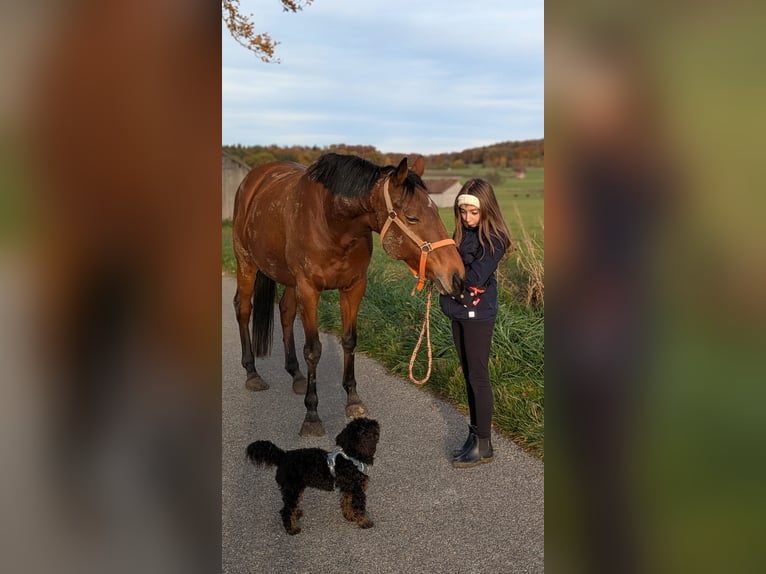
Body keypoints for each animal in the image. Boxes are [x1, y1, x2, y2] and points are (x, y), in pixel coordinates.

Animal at [232, 153, 465, 436]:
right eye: (412, 218)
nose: (456, 276)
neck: (331, 221)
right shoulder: (309, 289)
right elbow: (313, 349)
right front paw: (312, 415)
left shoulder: (354, 288)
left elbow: (349, 341)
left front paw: (353, 400)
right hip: (247, 264)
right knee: (243, 309)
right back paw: (252, 373)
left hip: (288, 279)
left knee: (286, 313)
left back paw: (296, 375)